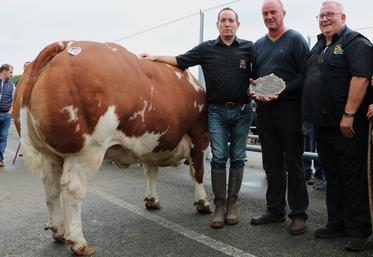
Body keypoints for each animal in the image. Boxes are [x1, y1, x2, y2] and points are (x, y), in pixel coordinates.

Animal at [13, 40, 212, 254]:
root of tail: (66, 44)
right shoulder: (200, 137)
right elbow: (197, 173)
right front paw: (203, 203)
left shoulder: (150, 143)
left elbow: (150, 172)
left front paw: (151, 200)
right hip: (87, 151)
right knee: (73, 188)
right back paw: (78, 242)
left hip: (50, 154)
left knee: (51, 186)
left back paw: (58, 230)